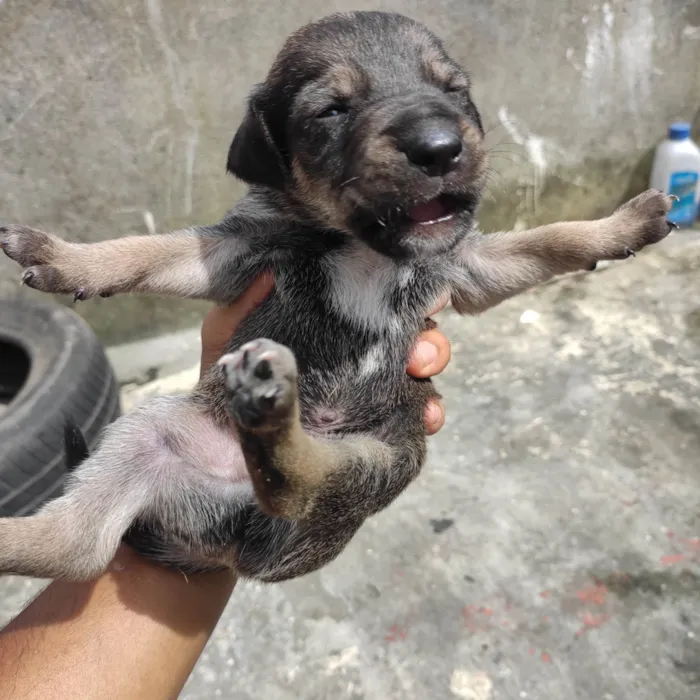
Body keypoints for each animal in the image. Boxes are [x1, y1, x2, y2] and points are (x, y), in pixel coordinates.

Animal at [1, 10, 680, 584]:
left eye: (454, 90)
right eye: (331, 110)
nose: (440, 146)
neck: (363, 246)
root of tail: (230, 546)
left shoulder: (468, 265)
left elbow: (553, 239)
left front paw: (620, 227)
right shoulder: (237, 249)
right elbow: (141, 251)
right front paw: (62, 257)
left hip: (382, 455)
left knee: (259, 496)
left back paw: (269, 410)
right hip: (154, 434)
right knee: (86, 543)